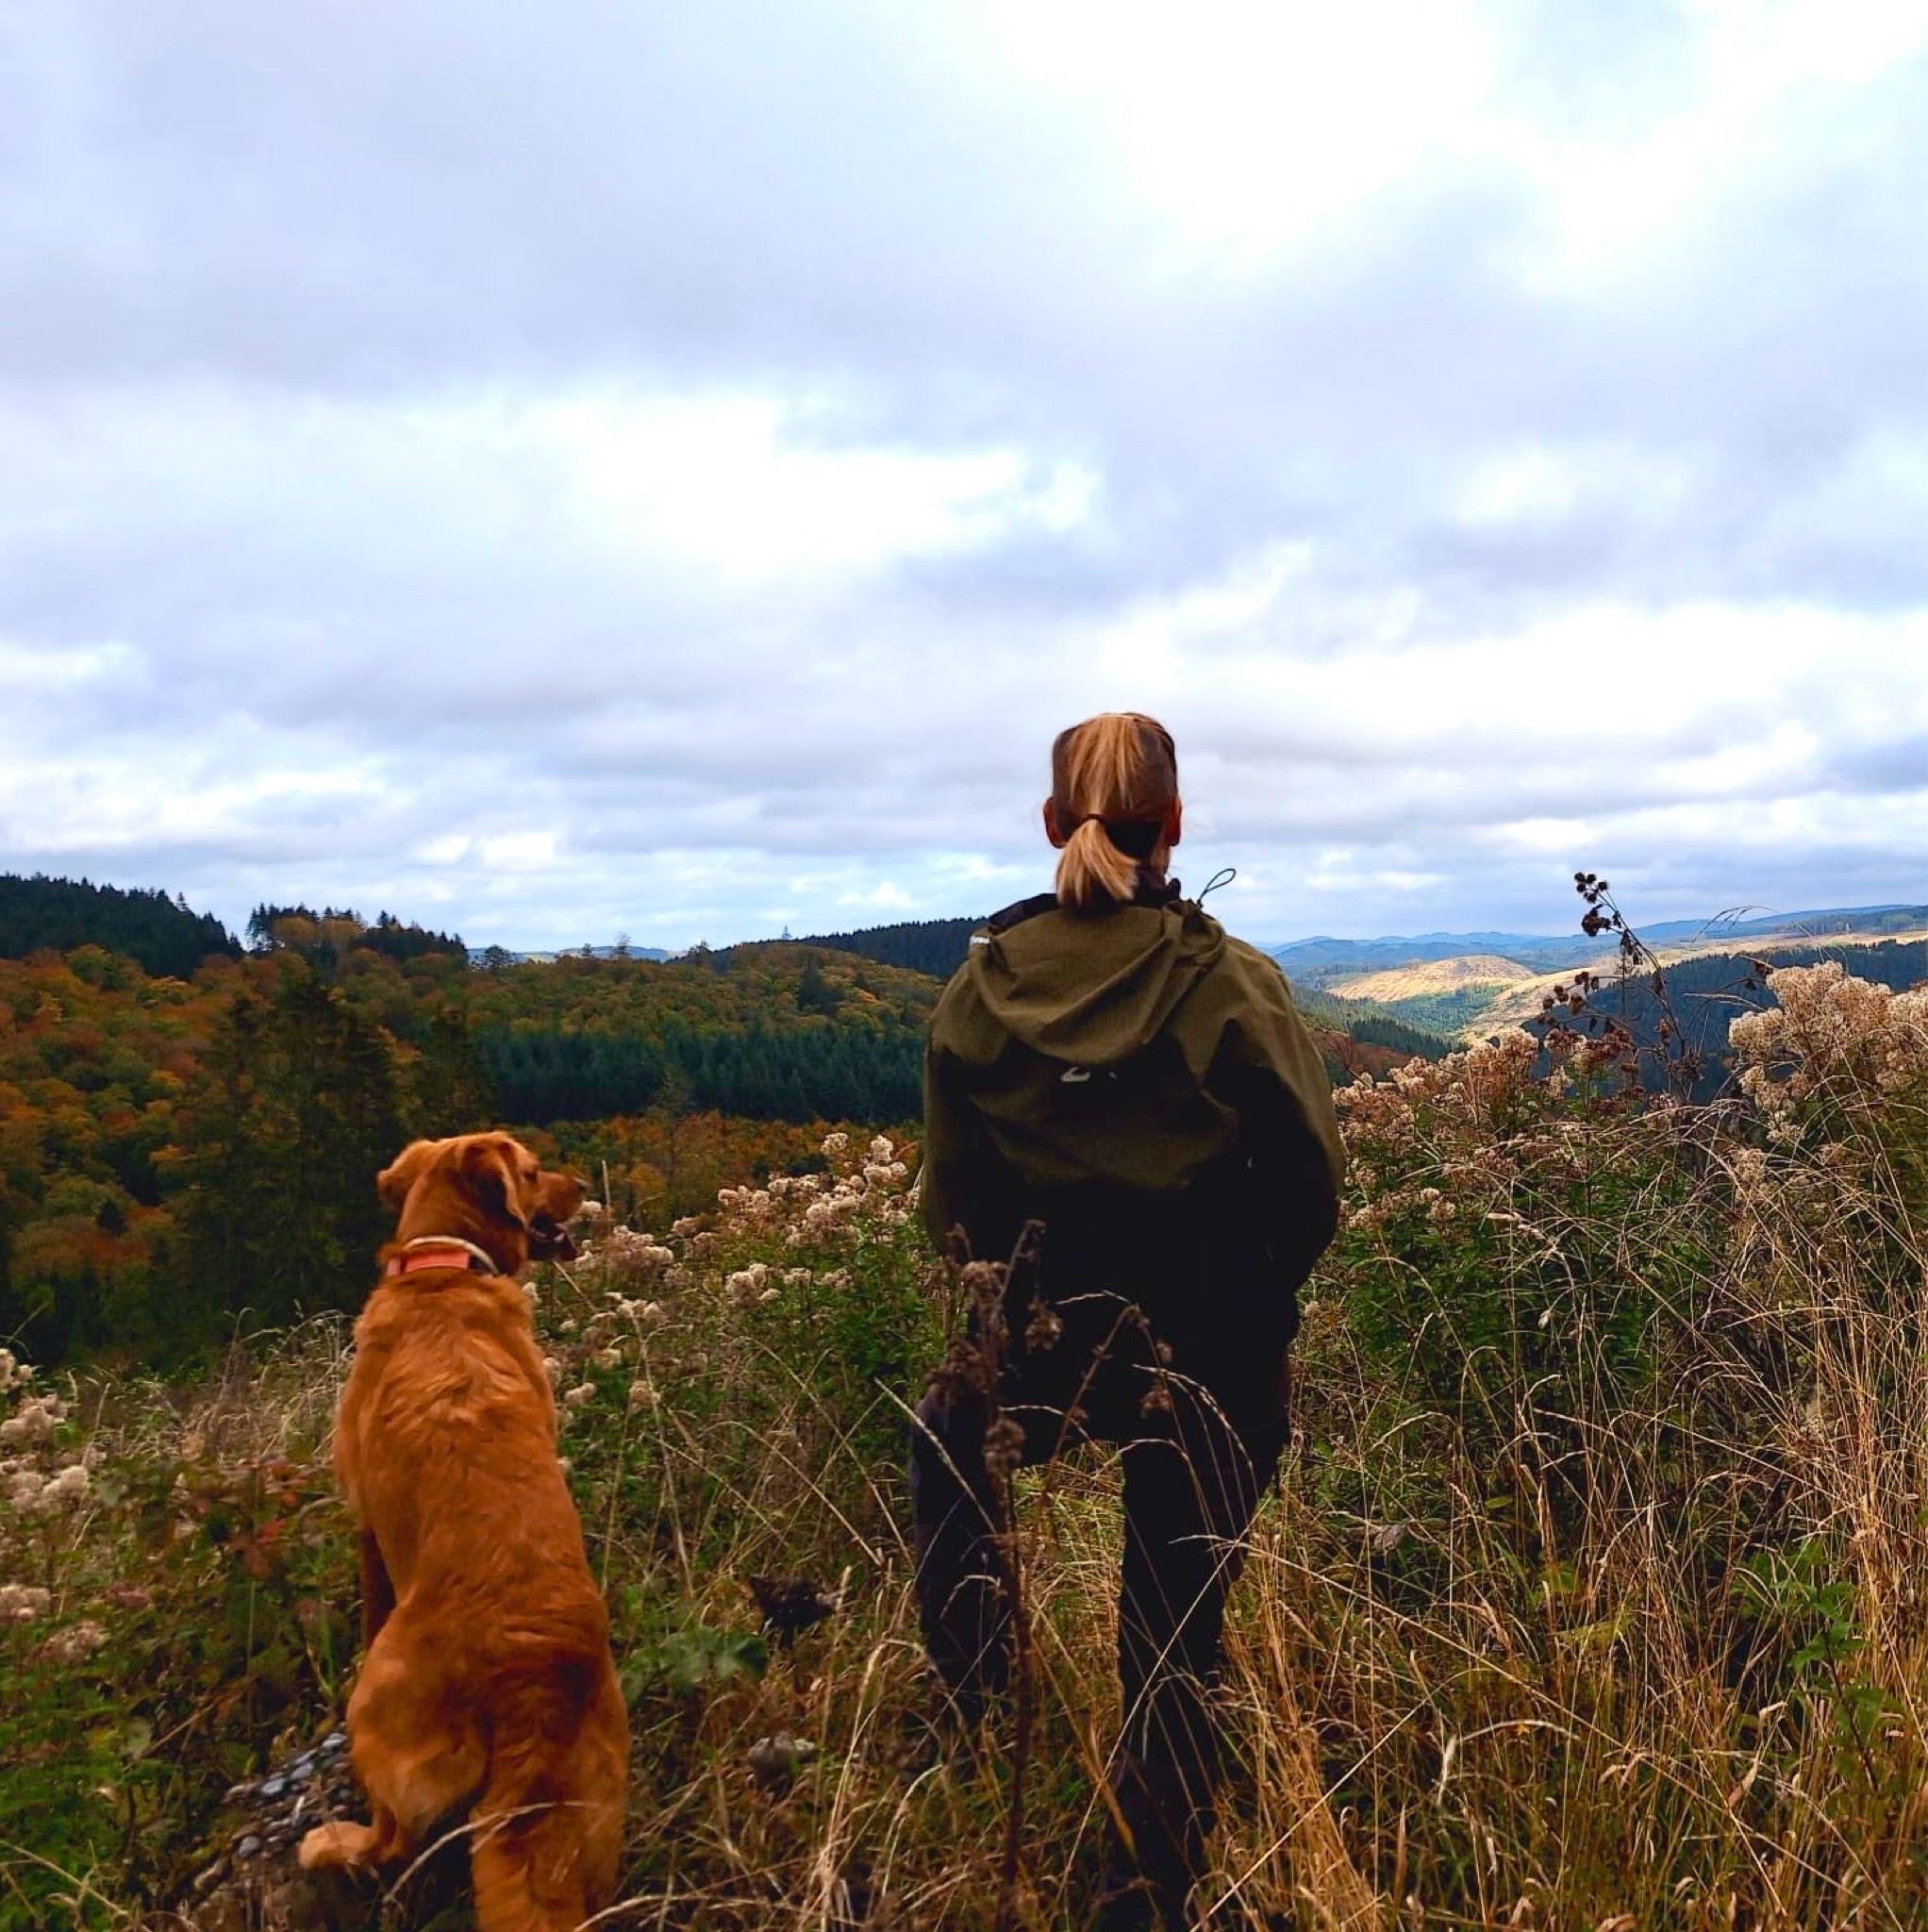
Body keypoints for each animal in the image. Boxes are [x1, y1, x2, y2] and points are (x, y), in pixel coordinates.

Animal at [298, 1131, 628, 1932]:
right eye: (537, 1173)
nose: (584, 1187)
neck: (442, 1269)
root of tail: (531, 1680)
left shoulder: (363, 1517)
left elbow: (369, 1602)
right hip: (592, 1808)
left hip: (380, 1717)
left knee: (391, 1841)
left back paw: (331, 1841)